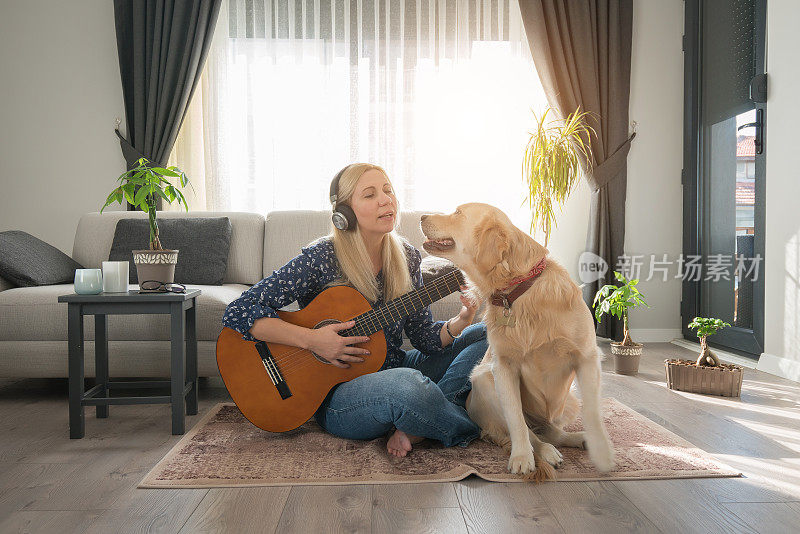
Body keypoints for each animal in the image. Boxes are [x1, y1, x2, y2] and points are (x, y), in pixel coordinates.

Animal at [422, 204, 616, 478]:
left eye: (458, 213)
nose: (421, 216)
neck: (518, 290)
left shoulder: (587, 356)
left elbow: (593, 410)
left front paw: (602, 453)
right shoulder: (503, 367)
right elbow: (516, 420)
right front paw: (523, 457)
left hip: (567, 403)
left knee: (552, 431)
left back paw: (579, 439)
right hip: (483, 381)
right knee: (533, 432)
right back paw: (545, 452)